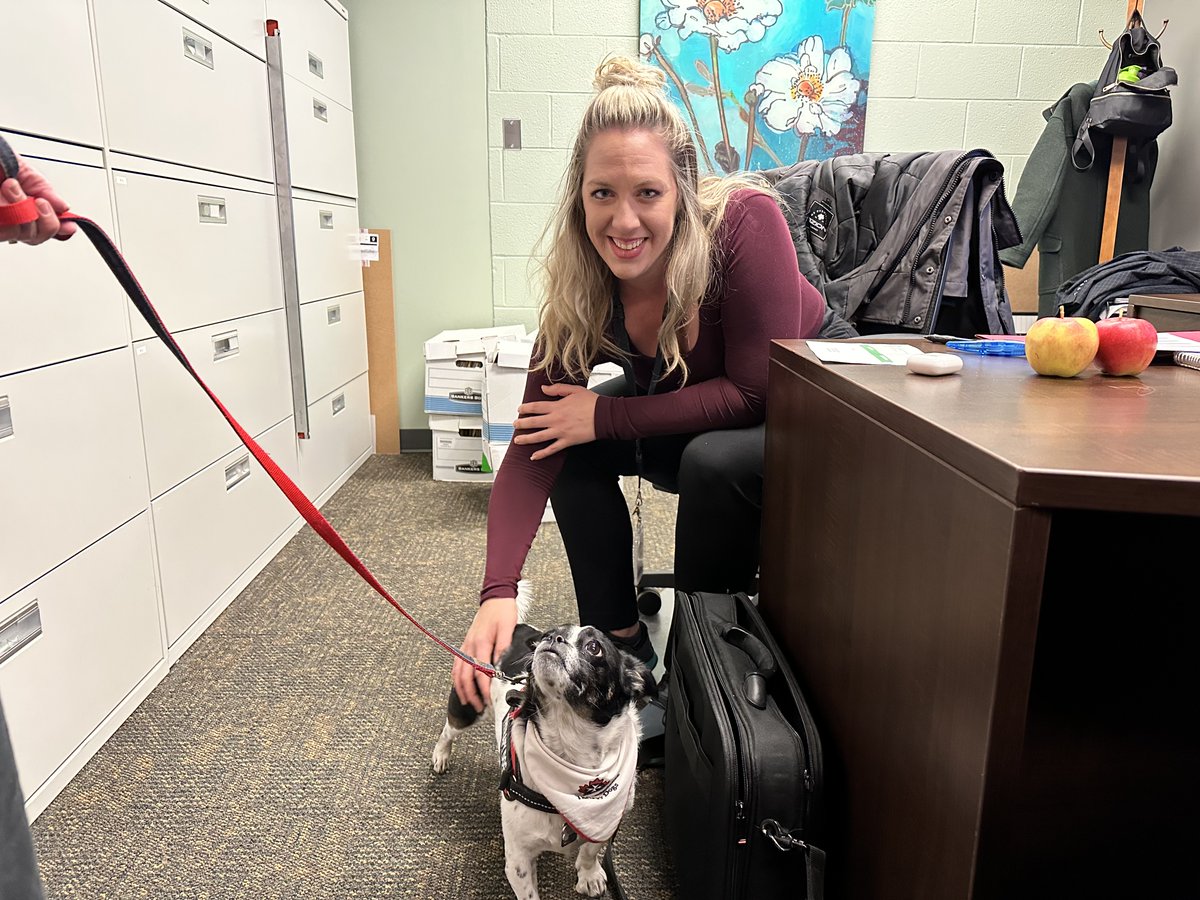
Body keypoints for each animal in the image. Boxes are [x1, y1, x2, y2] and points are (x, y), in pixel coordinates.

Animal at [432, 595, 657, 897]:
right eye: (549, 635)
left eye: (594, 647)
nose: (553, 638)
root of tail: (517, 627)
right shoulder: (518, 860)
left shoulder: (608, 822)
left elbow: (590, 850)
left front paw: (589, 874)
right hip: (468, 704)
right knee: (448, 729)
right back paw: (441, 756)